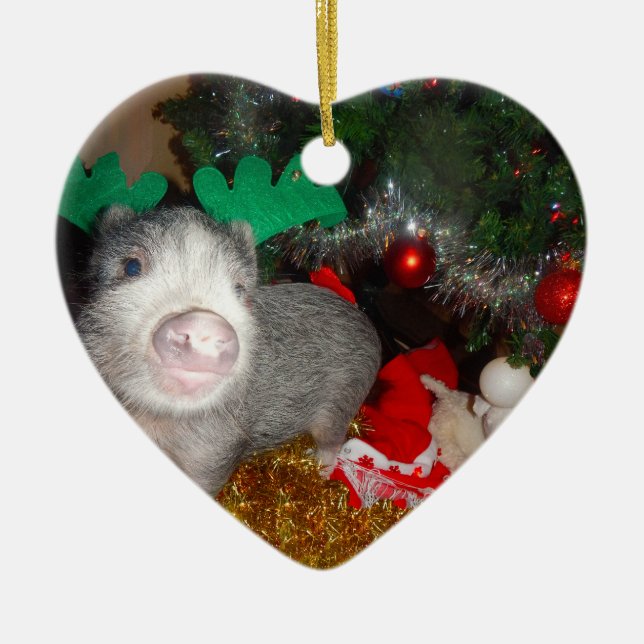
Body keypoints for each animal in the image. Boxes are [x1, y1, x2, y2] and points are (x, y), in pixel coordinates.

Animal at [78, 205, 381, 494]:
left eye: (238, 289)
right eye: (131, 267)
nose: (203, 323)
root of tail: (370, 328)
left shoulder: (216, 449)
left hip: (342, 401)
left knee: (333, 444)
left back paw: (317, 467)